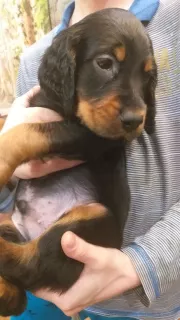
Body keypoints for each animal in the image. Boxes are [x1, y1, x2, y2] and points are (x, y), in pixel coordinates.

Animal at [0, 8, 156, 318]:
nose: (135, 121)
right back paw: (6, 293)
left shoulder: (91, 136)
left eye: (147, 76)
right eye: (105, 63)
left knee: (30, 264)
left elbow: (29, 132)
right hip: (11, 222)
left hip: (92, 217)